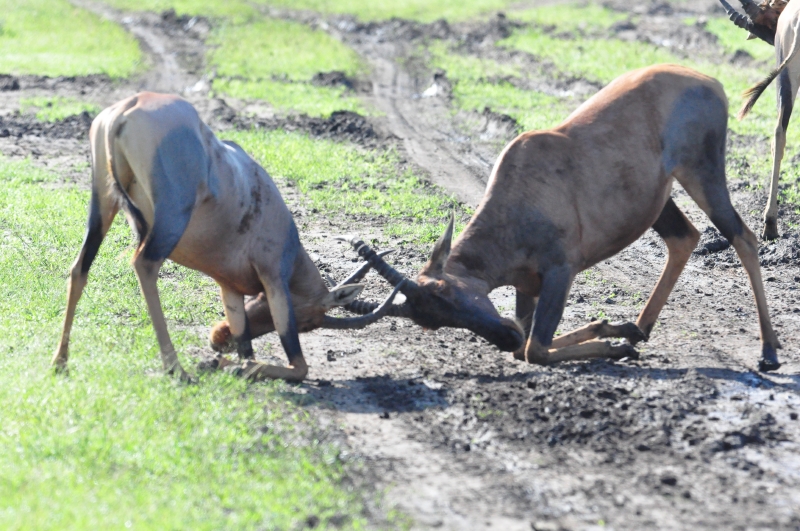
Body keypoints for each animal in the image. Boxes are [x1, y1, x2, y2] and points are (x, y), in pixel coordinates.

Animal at [52, 92, 399, 383]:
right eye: (307, 322)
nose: (218, 339)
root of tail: (129, 106)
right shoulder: (273, 277)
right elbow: (298, 365)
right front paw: (230, 366)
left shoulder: (229, 286)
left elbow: (245, 342)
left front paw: (229, 361)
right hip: (171, 218)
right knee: (144, 265)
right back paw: (177, 369)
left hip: (102, 203)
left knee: (79, 268)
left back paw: (60, 362)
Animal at [317, 64, 782, 372]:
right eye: (432, 320)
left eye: (450, 296)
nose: (501, 334)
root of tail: (708, 82)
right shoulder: (528, 285)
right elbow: (529, 341)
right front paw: (615, 332)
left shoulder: (562, 269)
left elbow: (535, 349)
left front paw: (615, 345)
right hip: (657, 199)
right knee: (683, 238)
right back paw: (638, 329)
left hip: (702, 172)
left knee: (743, 237)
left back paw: (769, 353)